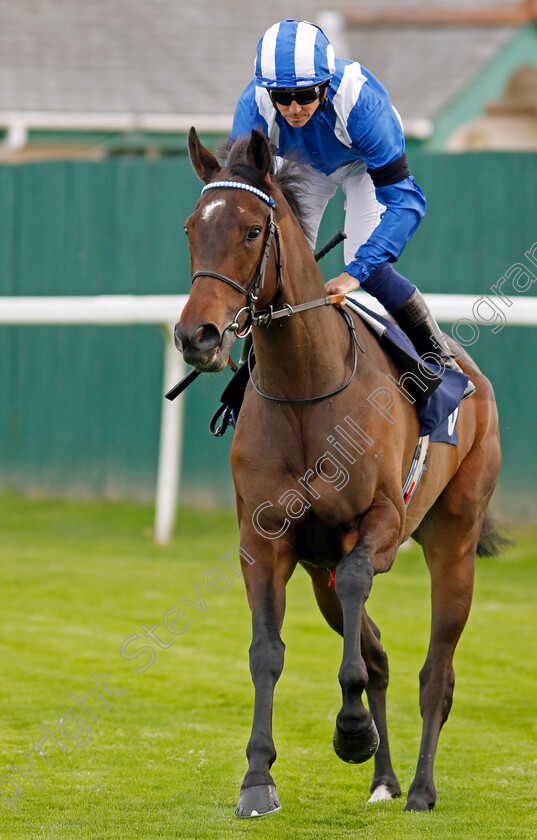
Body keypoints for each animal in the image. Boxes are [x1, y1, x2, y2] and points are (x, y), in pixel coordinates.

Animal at [175, 128, 502, 816]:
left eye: (252, 230)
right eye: (191, 227)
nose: (199, 336)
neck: (306, 388)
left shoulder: (378, 524)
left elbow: (359, 589)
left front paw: (351, 731)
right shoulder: (265, 541)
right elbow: (267, 652)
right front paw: (258, 779)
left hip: (453, 540)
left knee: (437, 671)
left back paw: (421, 787)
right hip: (317, 569)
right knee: (376, 651)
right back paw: (385, 779)